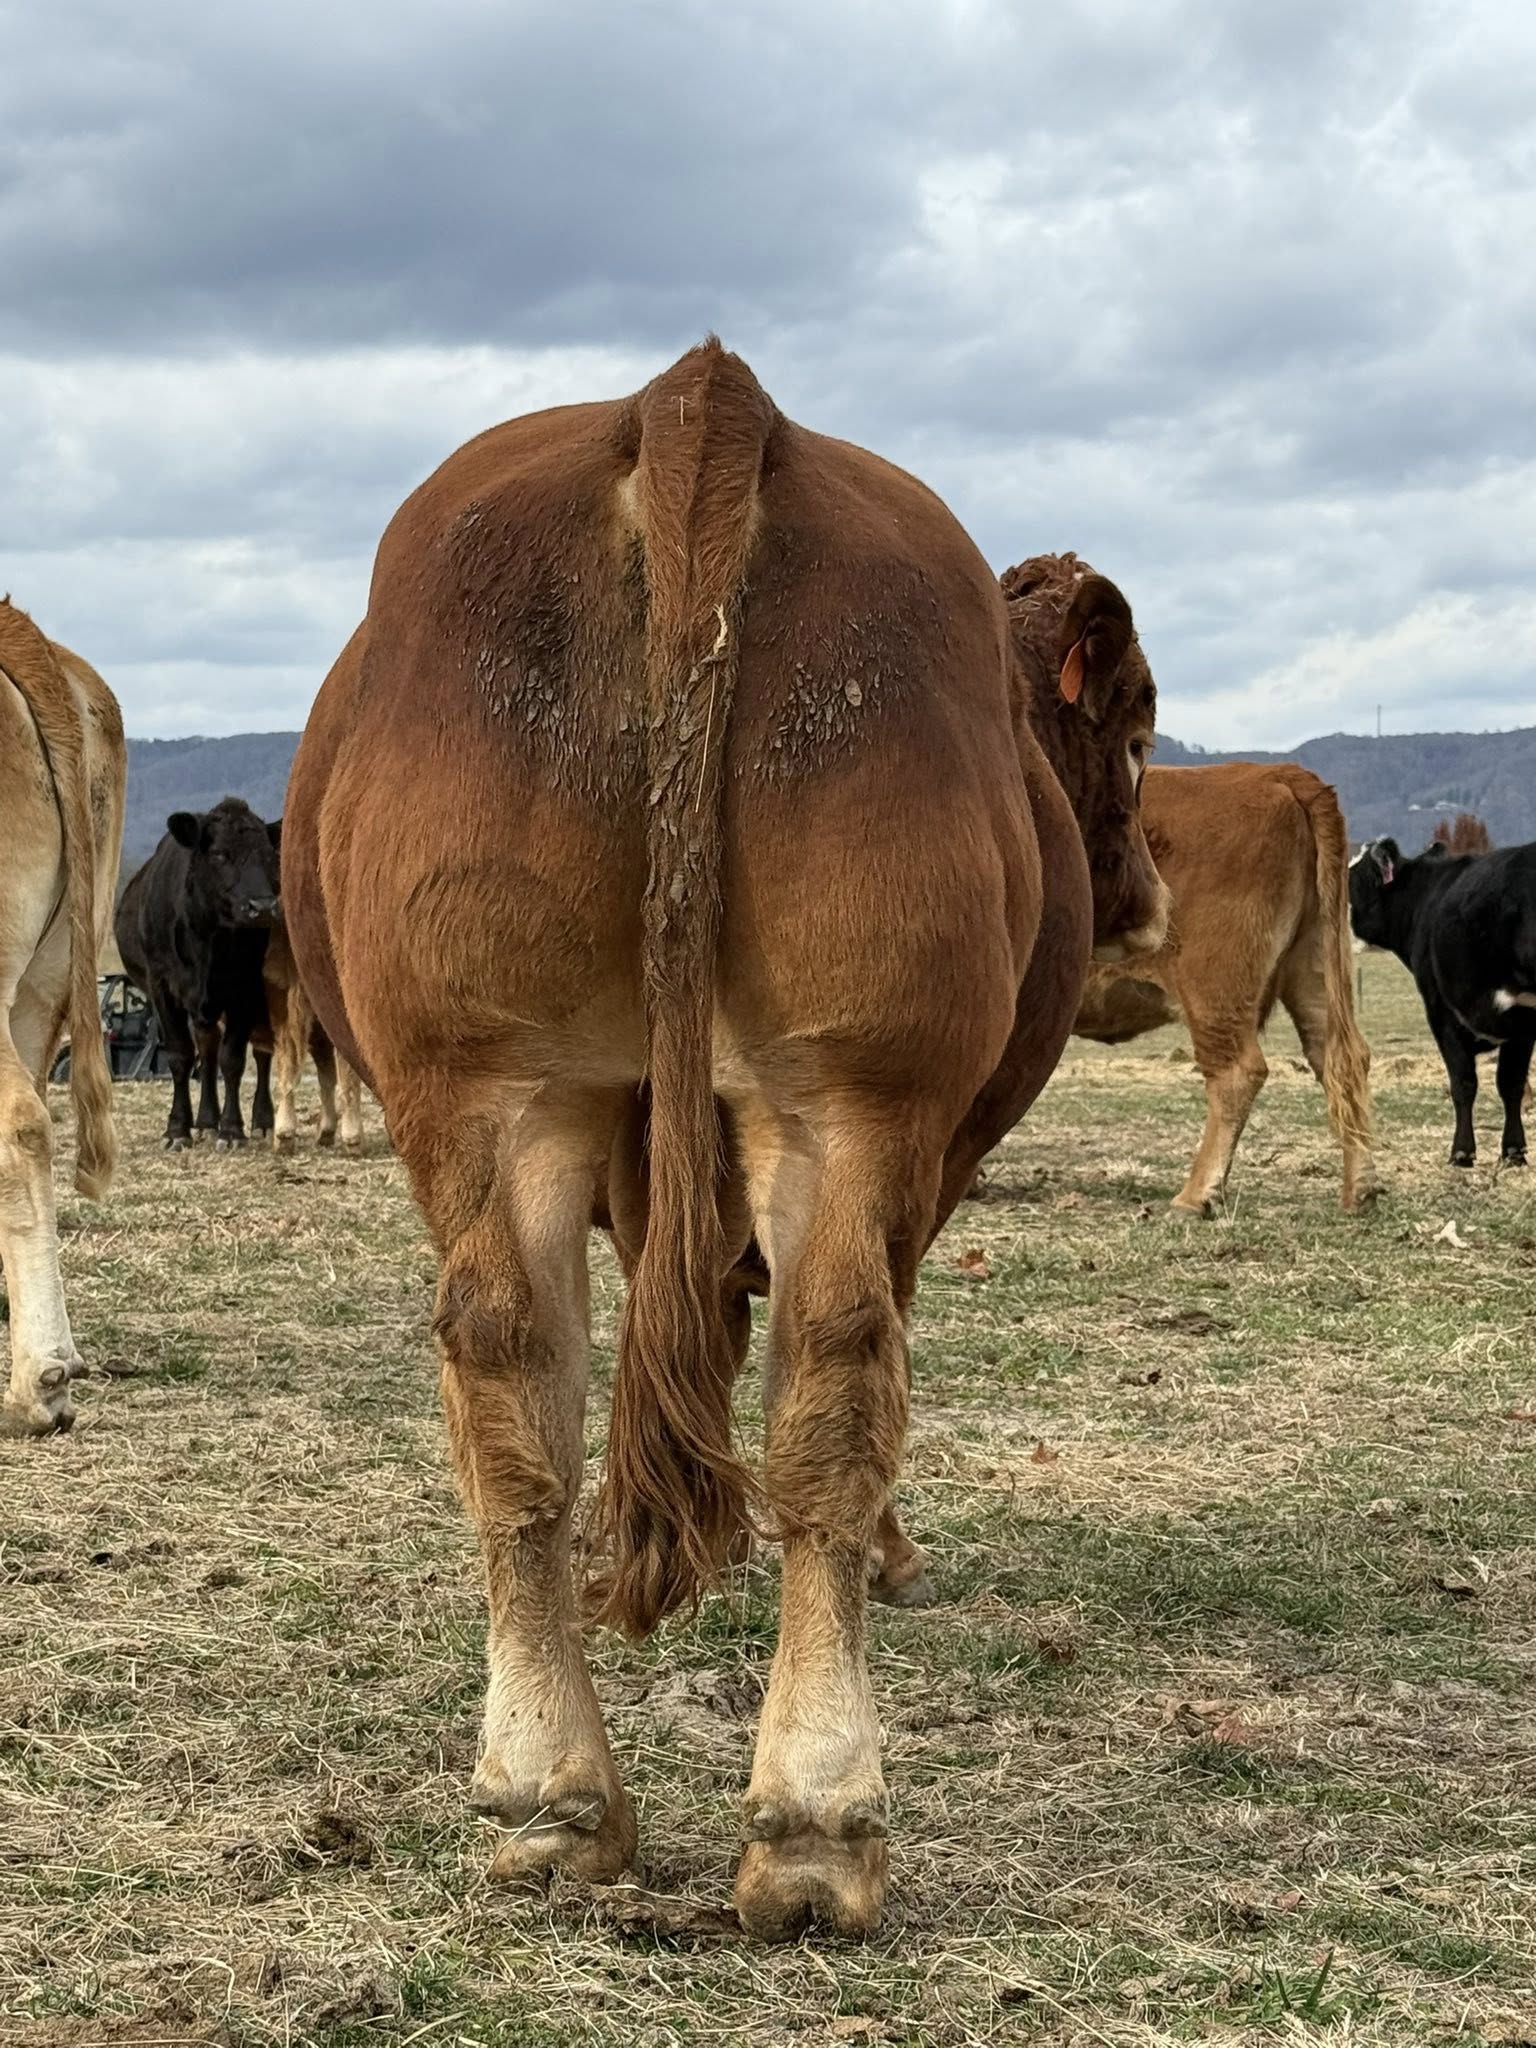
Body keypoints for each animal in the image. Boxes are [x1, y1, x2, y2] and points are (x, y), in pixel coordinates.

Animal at [115, 798, 281, 1150]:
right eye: (219, 854)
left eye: (268, 856)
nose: (262, 907)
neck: (209, 939)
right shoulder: (162, 987)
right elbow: (181, 1055)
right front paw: (178, 1128)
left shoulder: (245, 987)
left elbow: (233, 1058)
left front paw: (232, 1130)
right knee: (207, 1051)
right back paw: (205, 1122)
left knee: (260, 1053)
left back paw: (261, 1122)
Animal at [284, 341, 1166, 1940]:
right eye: (1134, 727)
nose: (1144, 901)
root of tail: (696, 403)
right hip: (855, 1102)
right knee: (840, 1369)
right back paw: (818, 1814)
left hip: (501, 1089)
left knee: (518, 1372)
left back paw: (561, 1796)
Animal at [1071, 762, 1375, 1215]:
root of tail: (1274, 772)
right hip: (1316, 968)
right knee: (1341, 1059)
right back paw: (1362, 1190)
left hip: (1214, 989)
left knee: (1238, 1074)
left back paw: (1196, 1195)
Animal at [1349, 836, 1536, 1168]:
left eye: (1353, 879)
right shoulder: (1519, 1025)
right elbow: (1511, 1084)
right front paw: (1513, 1152)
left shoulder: (1443, 1015)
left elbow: (1464, 1084)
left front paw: (1461, 1152)